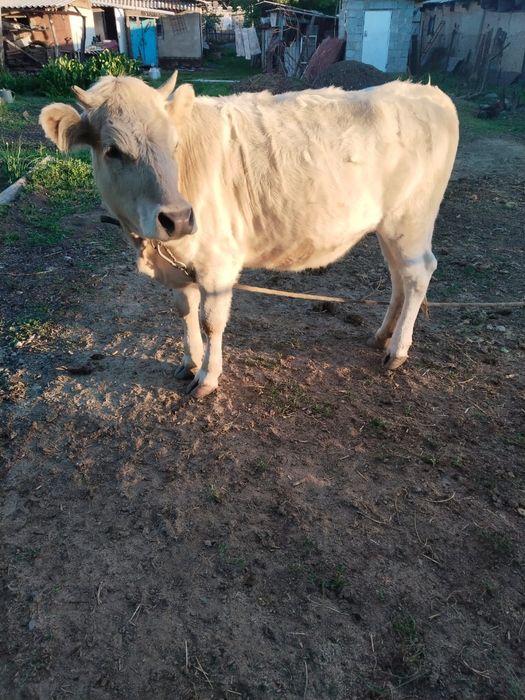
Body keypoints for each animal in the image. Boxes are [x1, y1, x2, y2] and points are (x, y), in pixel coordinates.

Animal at [39, 73, 459, 398]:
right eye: (112, 151)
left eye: (173, 143)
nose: (177, 218)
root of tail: (425, 91)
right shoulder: (179, 267)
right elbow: (184, 311)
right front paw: (189, 362)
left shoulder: (218, 263)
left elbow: (211, 321)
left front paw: (207, 377)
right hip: (389, 228)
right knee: (399, 277)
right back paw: (382, 335)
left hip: (411, 218)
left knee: (419, 273)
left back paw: (398, 349)